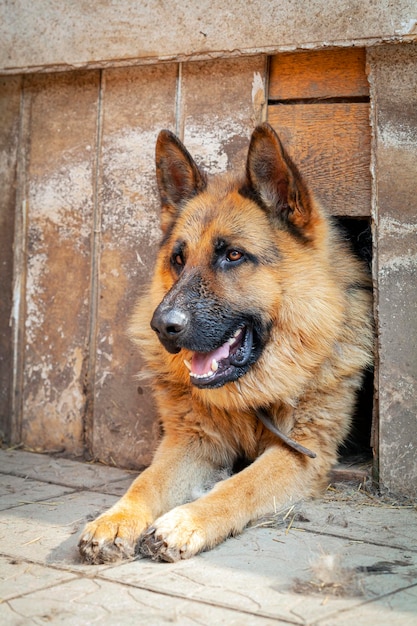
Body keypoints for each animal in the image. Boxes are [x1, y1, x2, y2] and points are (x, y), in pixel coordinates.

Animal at [79, 122, 372, 560]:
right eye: (178, 259)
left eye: (233, 255)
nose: (161, 325)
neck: (250, 398)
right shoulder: (190, 441)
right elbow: (145, 481)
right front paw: (116, 519)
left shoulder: (301, 452)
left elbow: (240, 486)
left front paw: (187, 520)